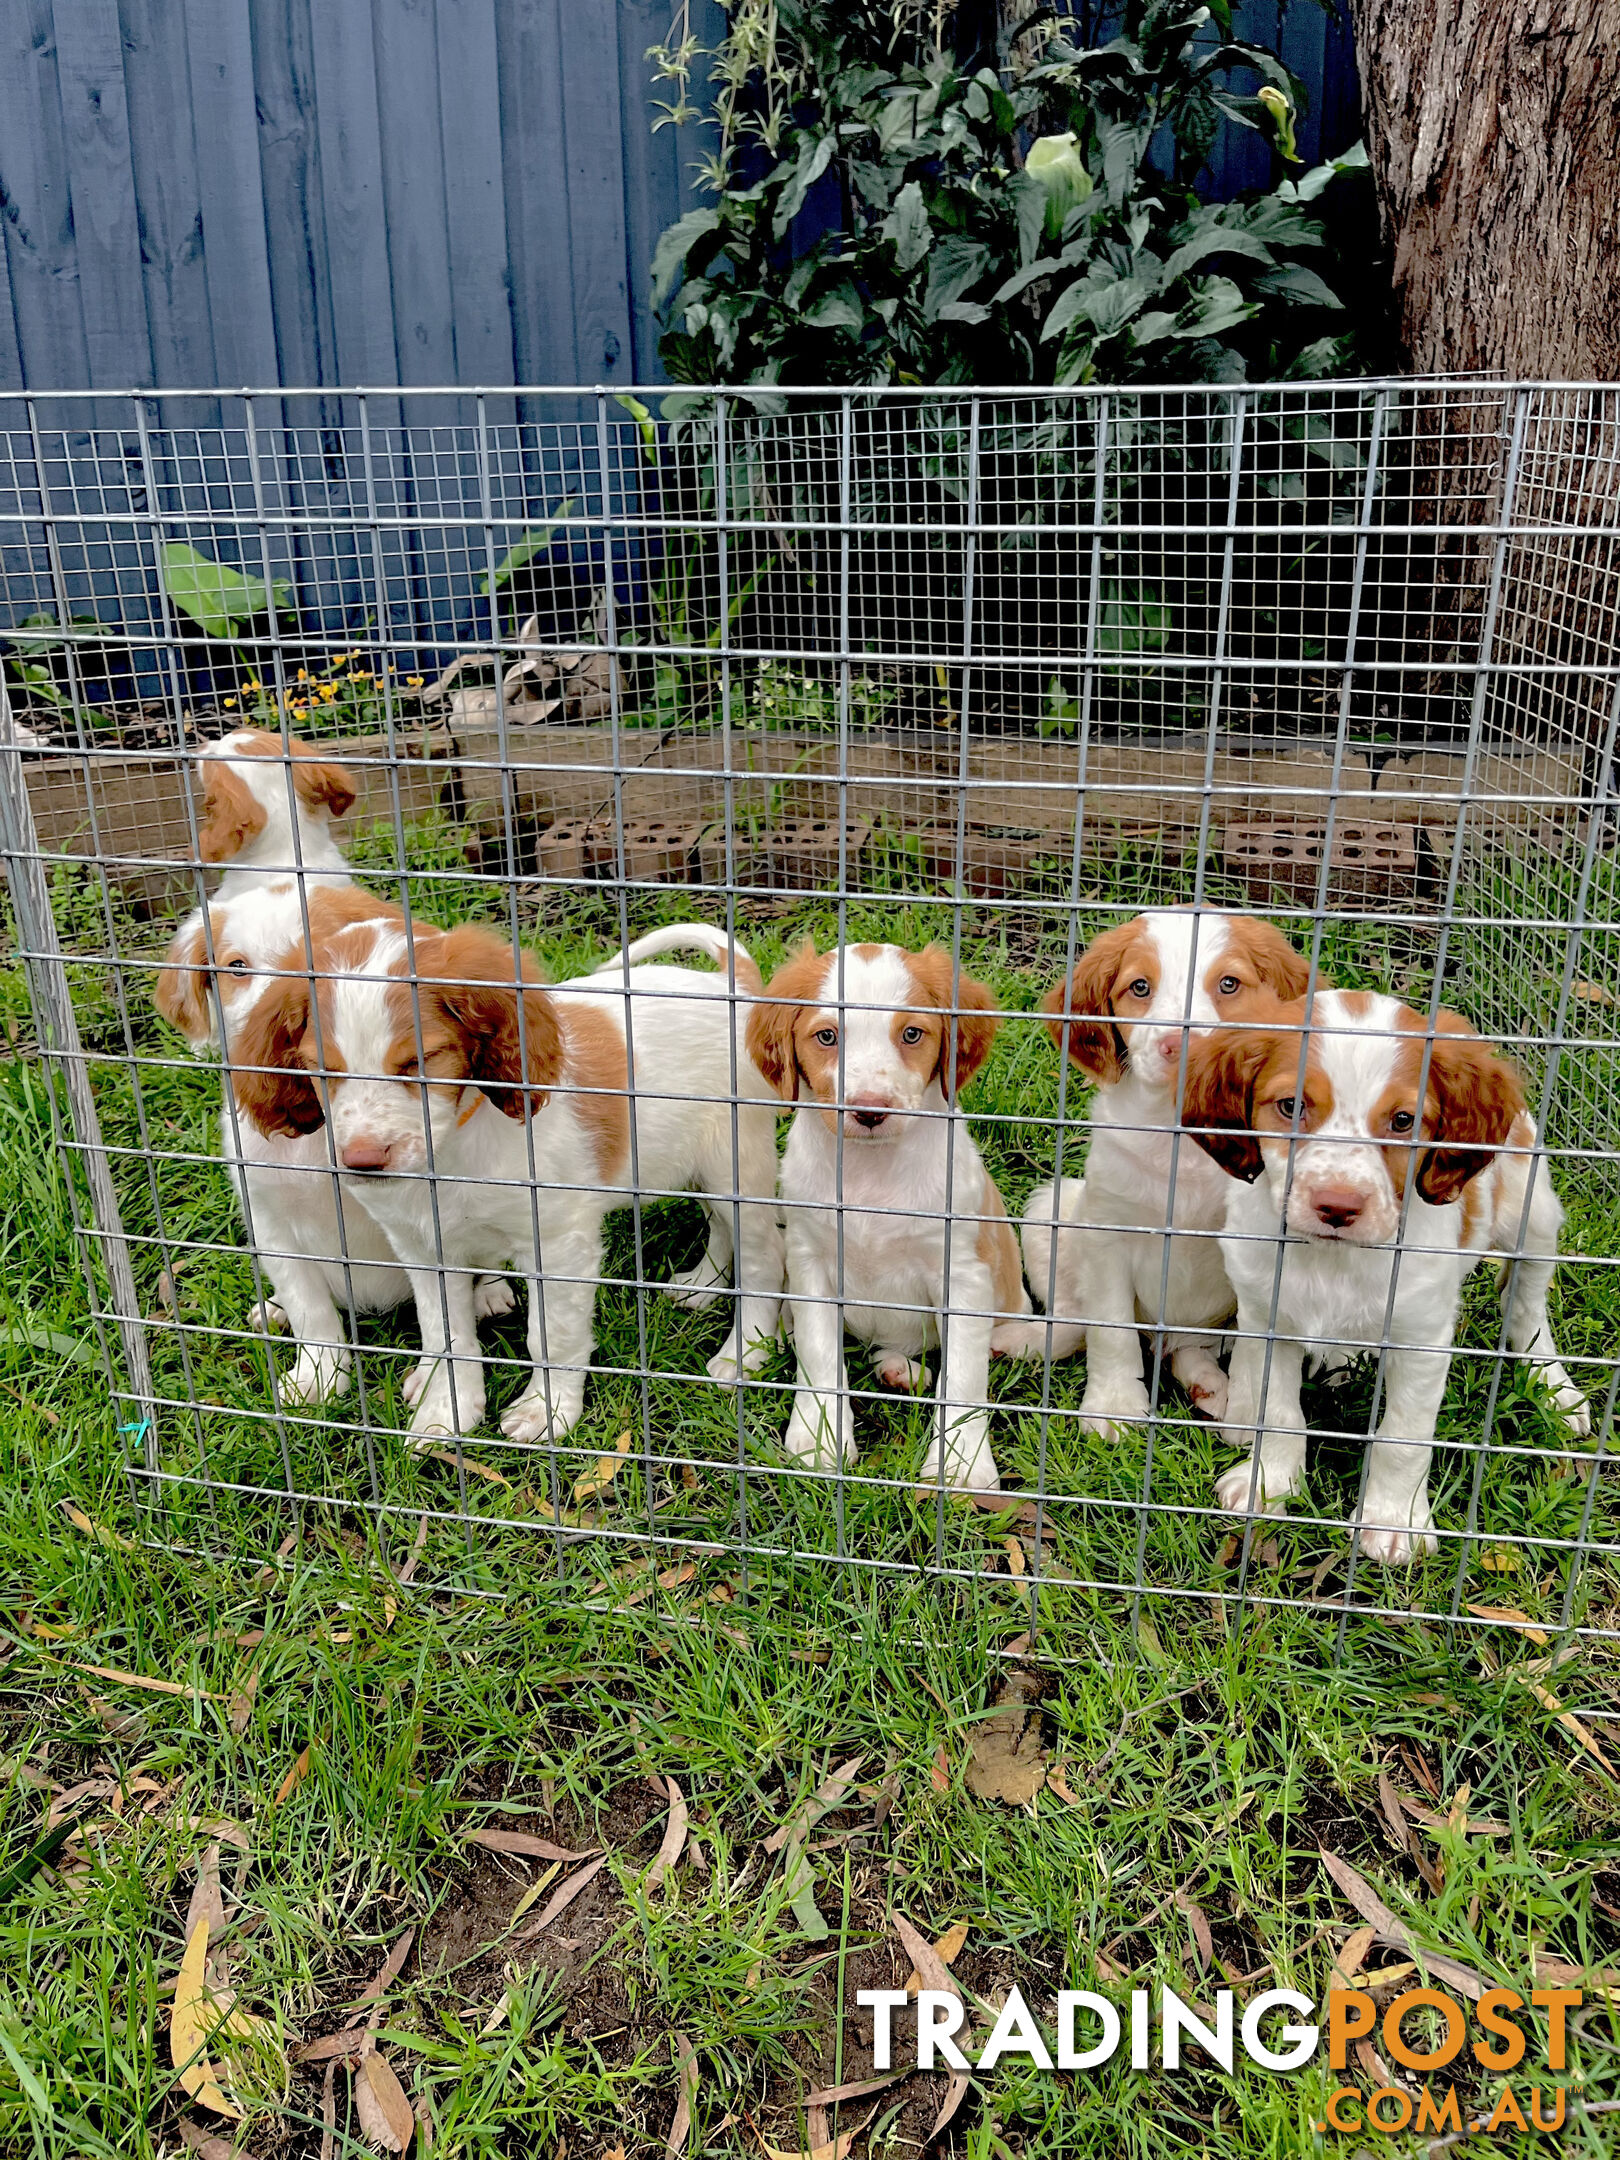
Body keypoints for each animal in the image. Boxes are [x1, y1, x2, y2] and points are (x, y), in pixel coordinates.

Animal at [156, 876, 514, 1399]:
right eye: (237, 967)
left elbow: (441, 1306)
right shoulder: (271, 1221)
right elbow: (310, 1309)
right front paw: (319, 1377)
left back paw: (491, 1291)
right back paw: (273, 1310)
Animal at [230, 915, 786, 1442]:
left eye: (419, 1062)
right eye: (319, 1068)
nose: (362, 1161)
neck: (452, 1151)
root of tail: (733, 986)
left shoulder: (558, 1246)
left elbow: (550, 1336)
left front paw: (547, 1411)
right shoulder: (423, 1249)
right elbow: (444, 1334)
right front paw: (446, 1412)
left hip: (736, 1164)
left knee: (763, 1259)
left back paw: (744, 1352)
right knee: (720, 1227)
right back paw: (704, 1285)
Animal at [747, 937, 1028, 1494]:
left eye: (912, 1034)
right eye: (827, 1036)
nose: (870, 1110)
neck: (871, 1170)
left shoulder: (965, 1275)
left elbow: (963, 1378)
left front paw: (961, 1467)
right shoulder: (810, 1262)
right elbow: (818, 1353)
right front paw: (818, 1442)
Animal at [1183, 989, 1589, 1563]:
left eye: (1402, 1120)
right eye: (1291, 1107)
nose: (1337, 1206)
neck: (1334, 1260)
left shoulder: (1422, 1340)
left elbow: (1403, 1437)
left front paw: (1393, 1521)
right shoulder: (1267, 1318)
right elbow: (1279, 1411)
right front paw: (1270, 1484)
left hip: (1533, 1214)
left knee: (1527, 1302)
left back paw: (1554, 1385)